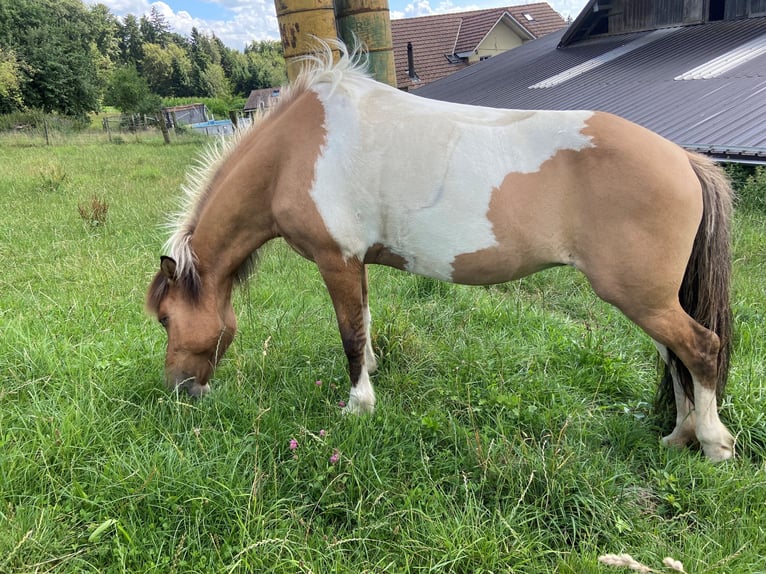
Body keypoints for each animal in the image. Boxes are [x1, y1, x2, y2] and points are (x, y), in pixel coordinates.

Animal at [146, 41, 735, 462]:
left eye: (166, 317)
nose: (178, 390)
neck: (296, 152)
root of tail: (685, 159)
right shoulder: (356, 264)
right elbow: (364, 323)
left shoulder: (336, 260)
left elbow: (350, 335)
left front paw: (358, 406)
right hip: (647, 299)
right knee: (676, 357)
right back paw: (678, 437)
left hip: (640, 297)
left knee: (700, 349)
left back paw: (713, 445)